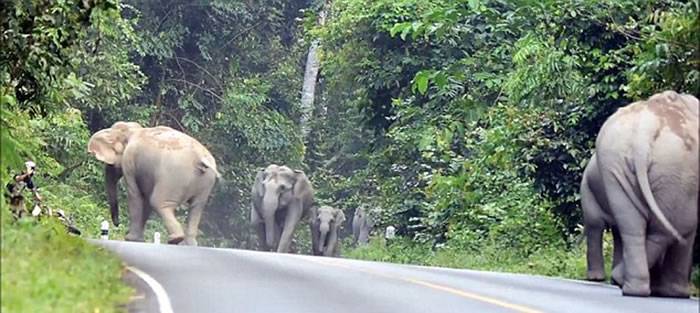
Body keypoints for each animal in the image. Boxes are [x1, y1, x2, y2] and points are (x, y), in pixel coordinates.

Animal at [87, 120, 219, 245]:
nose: (117, 224)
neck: (133, 130)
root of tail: (201, 158)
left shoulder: (129, 161)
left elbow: (136, 195)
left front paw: (131, 239)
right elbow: (145, 199)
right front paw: (136, 238)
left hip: (173, 178)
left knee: (158, 202)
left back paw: (175, 239)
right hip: (205, 181)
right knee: (196, 207)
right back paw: (188, 244)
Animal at [592, 89, 696, 296]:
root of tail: (646, 126)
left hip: (614, 163)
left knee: (631, 226)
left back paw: (628, 285)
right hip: (677, 170)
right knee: (670, 230)